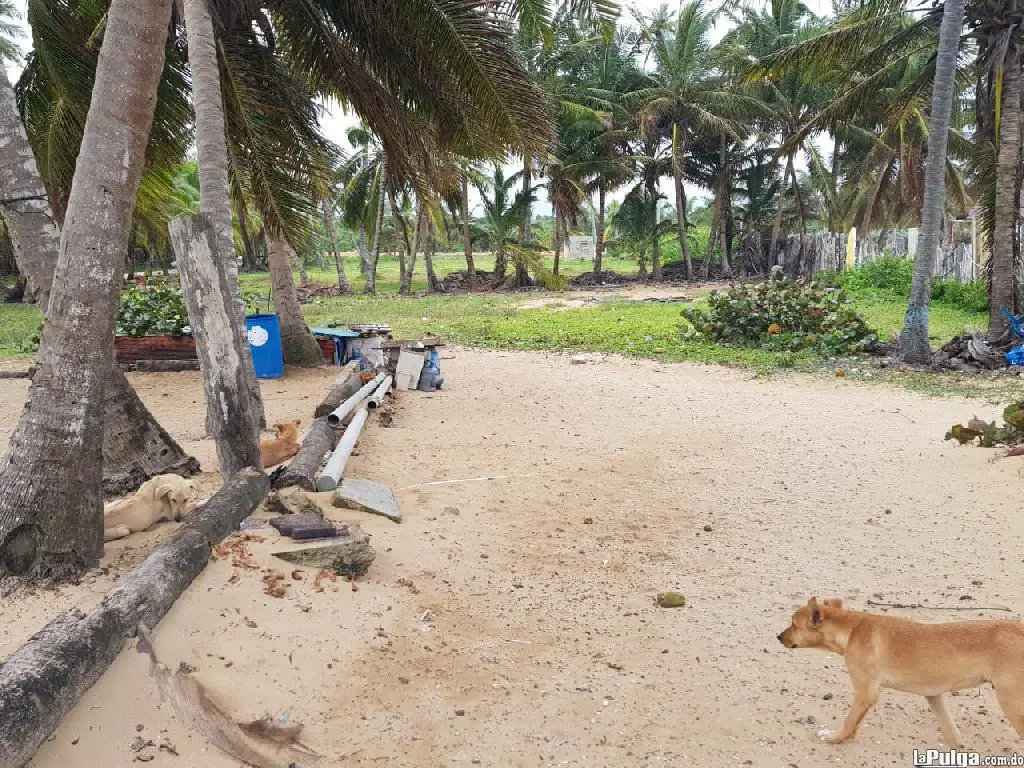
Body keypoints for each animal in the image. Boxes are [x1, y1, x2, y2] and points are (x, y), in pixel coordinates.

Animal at [774, 598, 1024, 749]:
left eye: (794, 624)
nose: (778, 636)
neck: (851, 629)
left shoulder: (865, 693)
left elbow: (849, 720)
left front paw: (835, 738)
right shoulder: (934, 696)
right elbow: (951, 732)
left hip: (1011, 702)